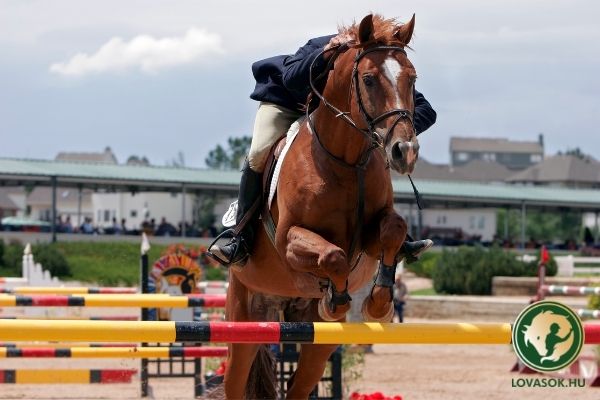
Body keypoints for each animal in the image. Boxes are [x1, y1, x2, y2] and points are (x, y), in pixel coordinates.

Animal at [224, 14, 418, 398]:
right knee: (234, 382)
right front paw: (336, 298)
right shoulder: (289, 240)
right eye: (369, 80)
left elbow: (393, 230)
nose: (404, 151)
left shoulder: (370, 237)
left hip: (317, 342)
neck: (346, 160)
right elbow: (332, 255)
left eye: (412, 78)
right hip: (244, 322)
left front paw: (378, 303)